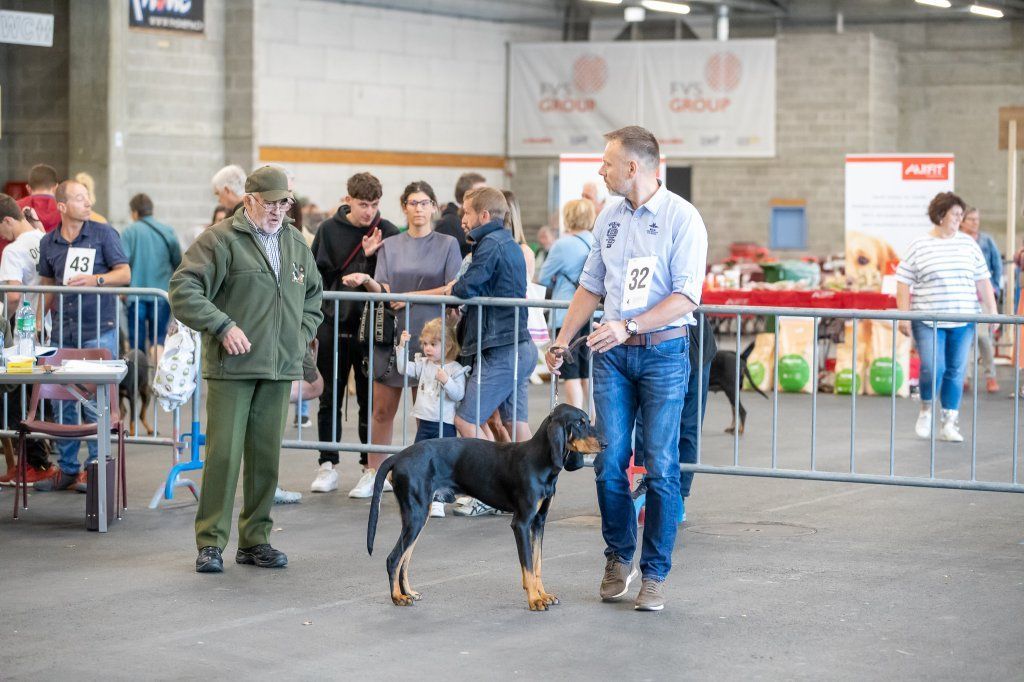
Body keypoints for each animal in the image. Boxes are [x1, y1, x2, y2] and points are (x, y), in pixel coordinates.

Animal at [368, 403, 602, 610]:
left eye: (588, 421)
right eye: (579, 423)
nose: (606, 444)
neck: (540, 461)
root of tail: (398, 455)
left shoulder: (539, 523)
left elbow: (537, 564)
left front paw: (543, 594)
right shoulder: (522, 523)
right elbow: (527, 565)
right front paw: (535, 600)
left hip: (417, 518)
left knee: (405, 560)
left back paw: (408, 592)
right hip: (416, 516)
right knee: (393, 559)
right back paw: (398, 597)